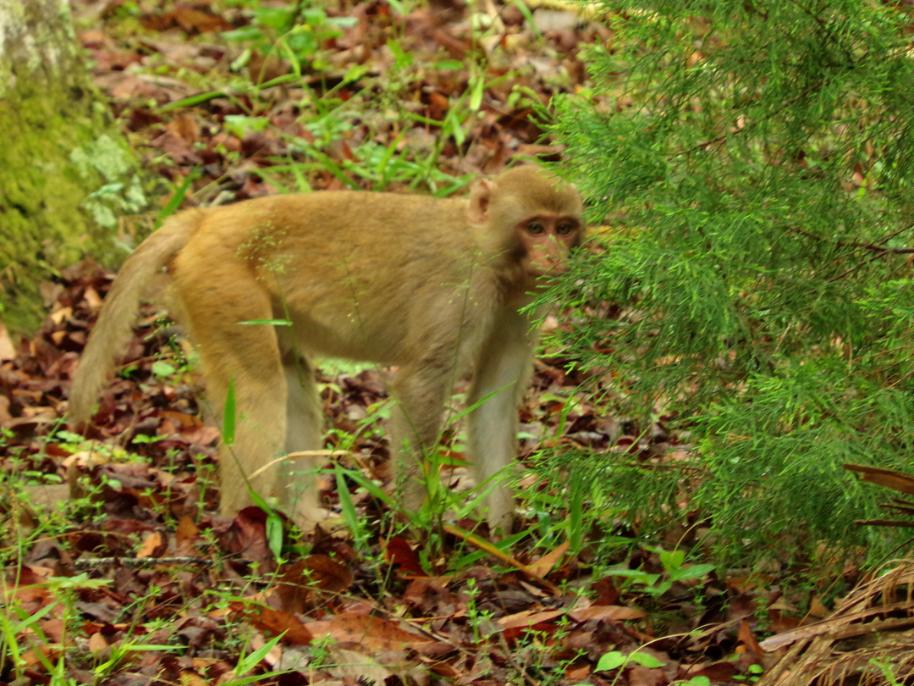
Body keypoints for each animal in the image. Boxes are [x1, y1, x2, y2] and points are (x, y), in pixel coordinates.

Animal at [71, 167, 584, 532]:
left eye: (564, 228)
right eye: (535, 228)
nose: (556, 258)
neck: (488, 252)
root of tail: (208, 219)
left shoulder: (523, 305)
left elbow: (494, 398)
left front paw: (502, 533)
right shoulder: (462, 296)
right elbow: (420, 388)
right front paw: (419, 526)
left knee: (292, 385)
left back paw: (301, 519)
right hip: (221, 285)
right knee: (261, 391)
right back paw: (240, 526)